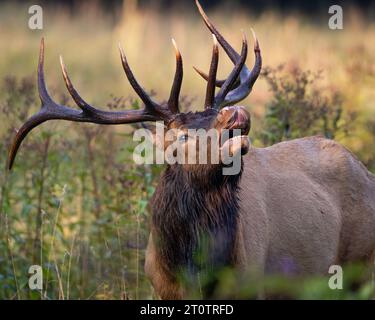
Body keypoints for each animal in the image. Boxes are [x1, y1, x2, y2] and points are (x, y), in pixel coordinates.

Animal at [5, 1, 375, 298]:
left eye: (214, 114)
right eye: (180, 136)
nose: (235, 113)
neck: (193, 269)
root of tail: (365, 169)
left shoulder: (253, 283)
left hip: (361, 262)